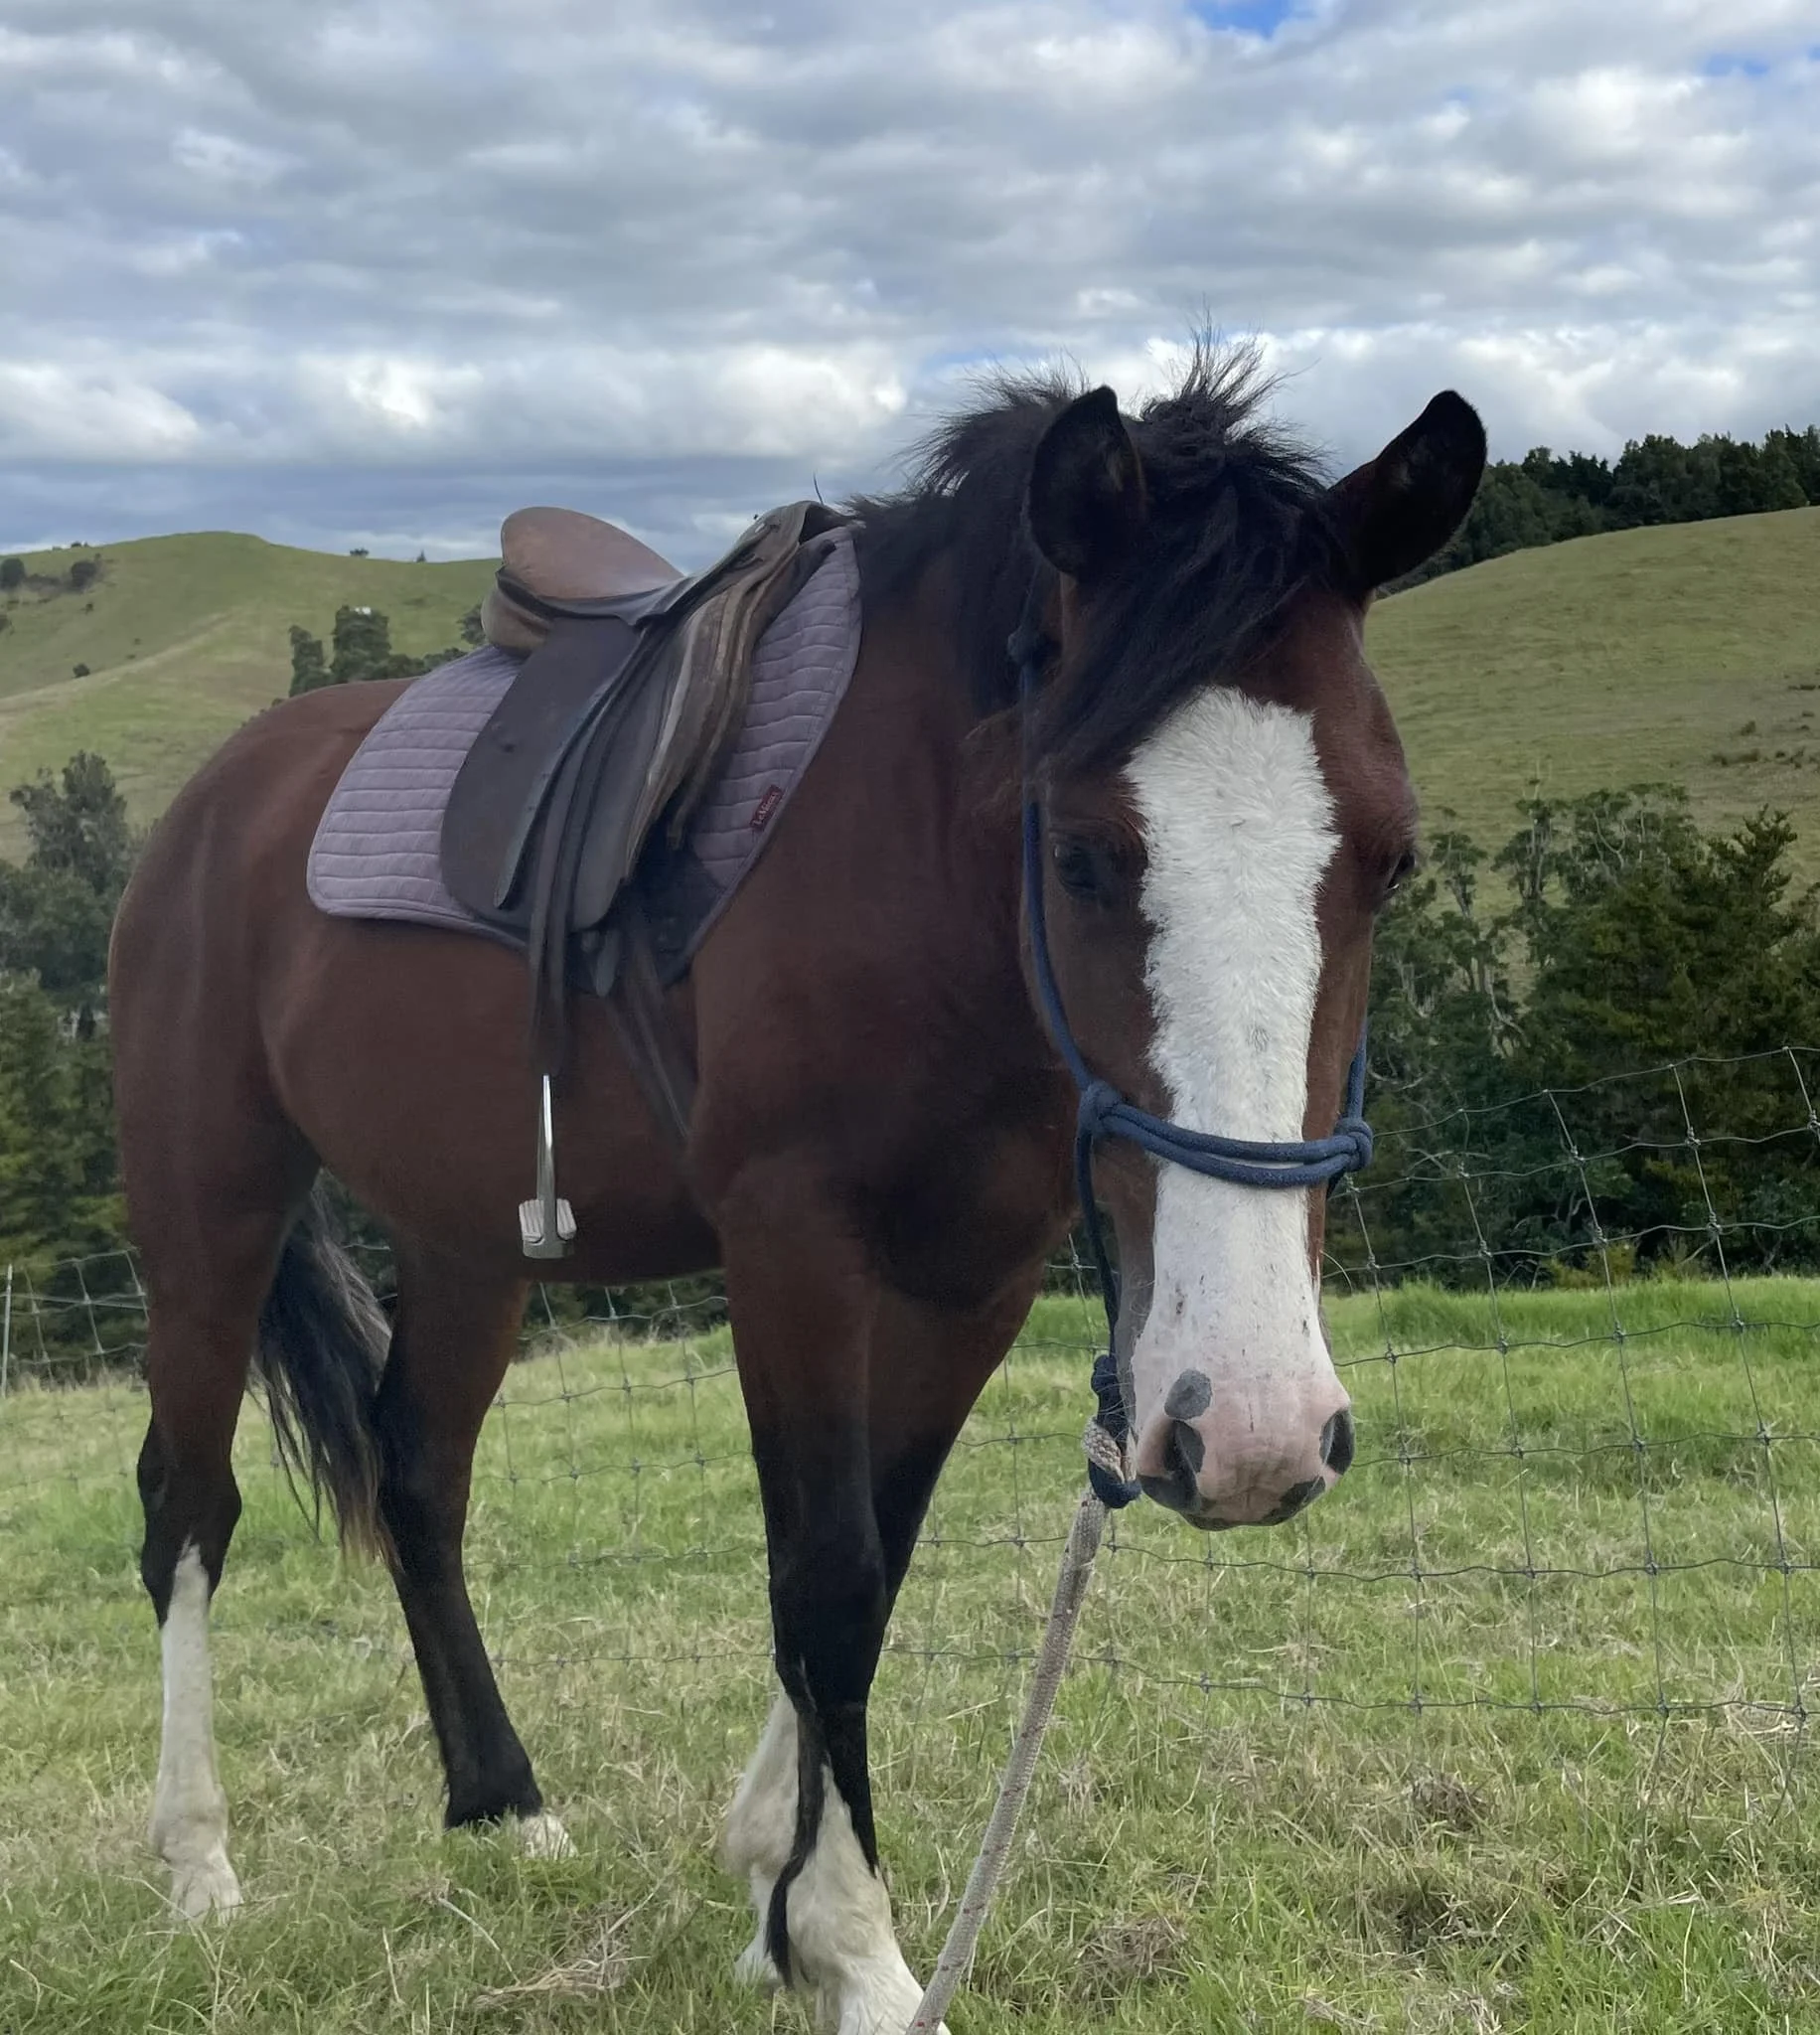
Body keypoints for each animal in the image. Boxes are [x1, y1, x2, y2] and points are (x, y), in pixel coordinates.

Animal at [109, 347, 1484, 2033]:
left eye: (1390, 860)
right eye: (1084, 854)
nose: (1256, 1439)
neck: (907, 863)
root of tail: (213, 799)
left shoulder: (976, 1273)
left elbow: (879, 1559)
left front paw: (771, 1877)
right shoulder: (793, 1250)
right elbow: (825, 1575)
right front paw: (853, 1944)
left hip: (470, 1242)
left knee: (421, 1480)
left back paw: (502, 1803)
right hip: (210, 1204)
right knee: (187, 1505)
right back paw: (199, 1867)